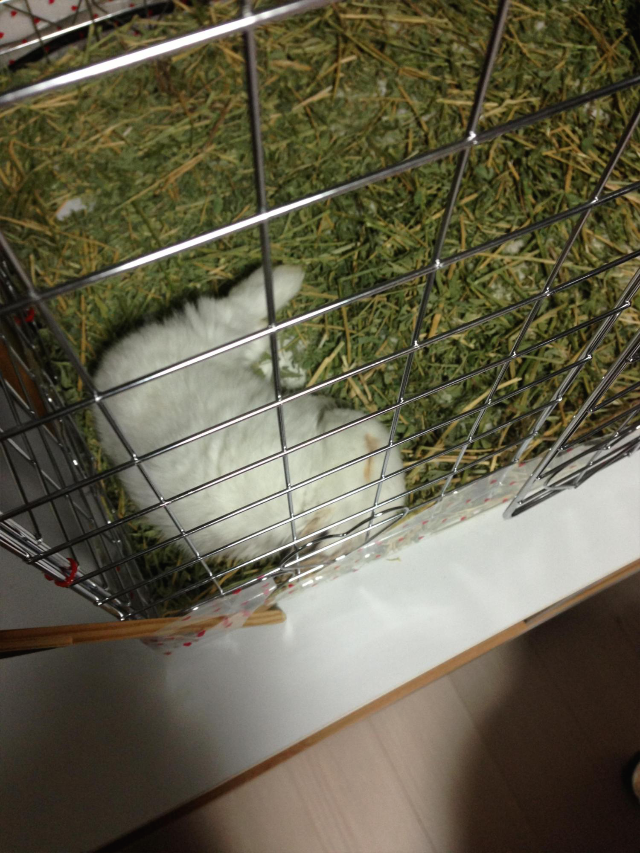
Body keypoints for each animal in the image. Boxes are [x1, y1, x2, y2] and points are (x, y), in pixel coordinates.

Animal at [92, 265, 407, 567]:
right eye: (370, 458)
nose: (377, 430)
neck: (310, 487)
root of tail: (101, 380)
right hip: (214, 333)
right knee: (238, 311)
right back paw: (289, 274)